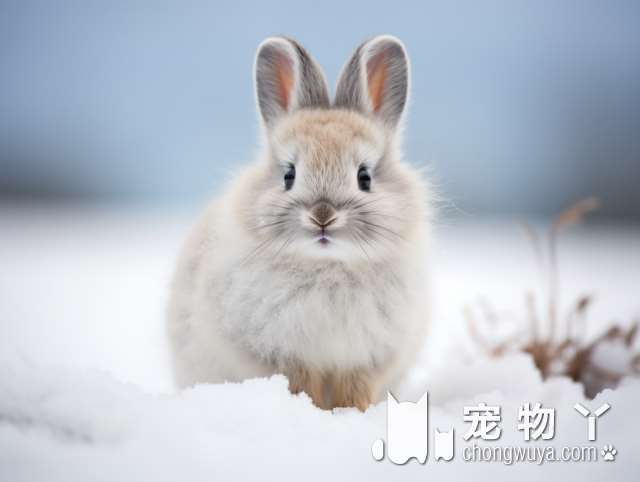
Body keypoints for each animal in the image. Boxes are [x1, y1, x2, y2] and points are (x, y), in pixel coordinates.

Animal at [168, 34, 432, 410]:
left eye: (364, 177)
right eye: (289, 175)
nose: (322, 216)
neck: (328, 265)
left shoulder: (365, 359)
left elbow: (355, 391)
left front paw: (354, 415)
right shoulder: (285, 355)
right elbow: (302, 385)